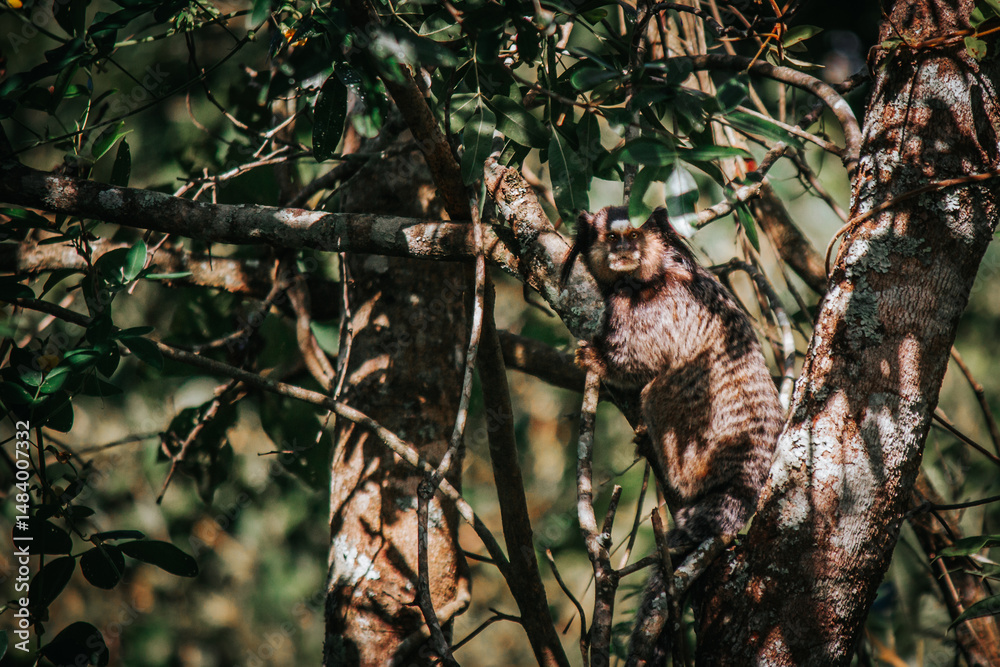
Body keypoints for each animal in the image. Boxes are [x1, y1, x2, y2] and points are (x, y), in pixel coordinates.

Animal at [561, 206, 784, 662]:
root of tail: (748, 474)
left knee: (661, 387)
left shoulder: (654, 306)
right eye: (612, 239)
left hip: (699, 444)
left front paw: (595, 358)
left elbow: (639, 361)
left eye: (631, 236)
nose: (624, 252)